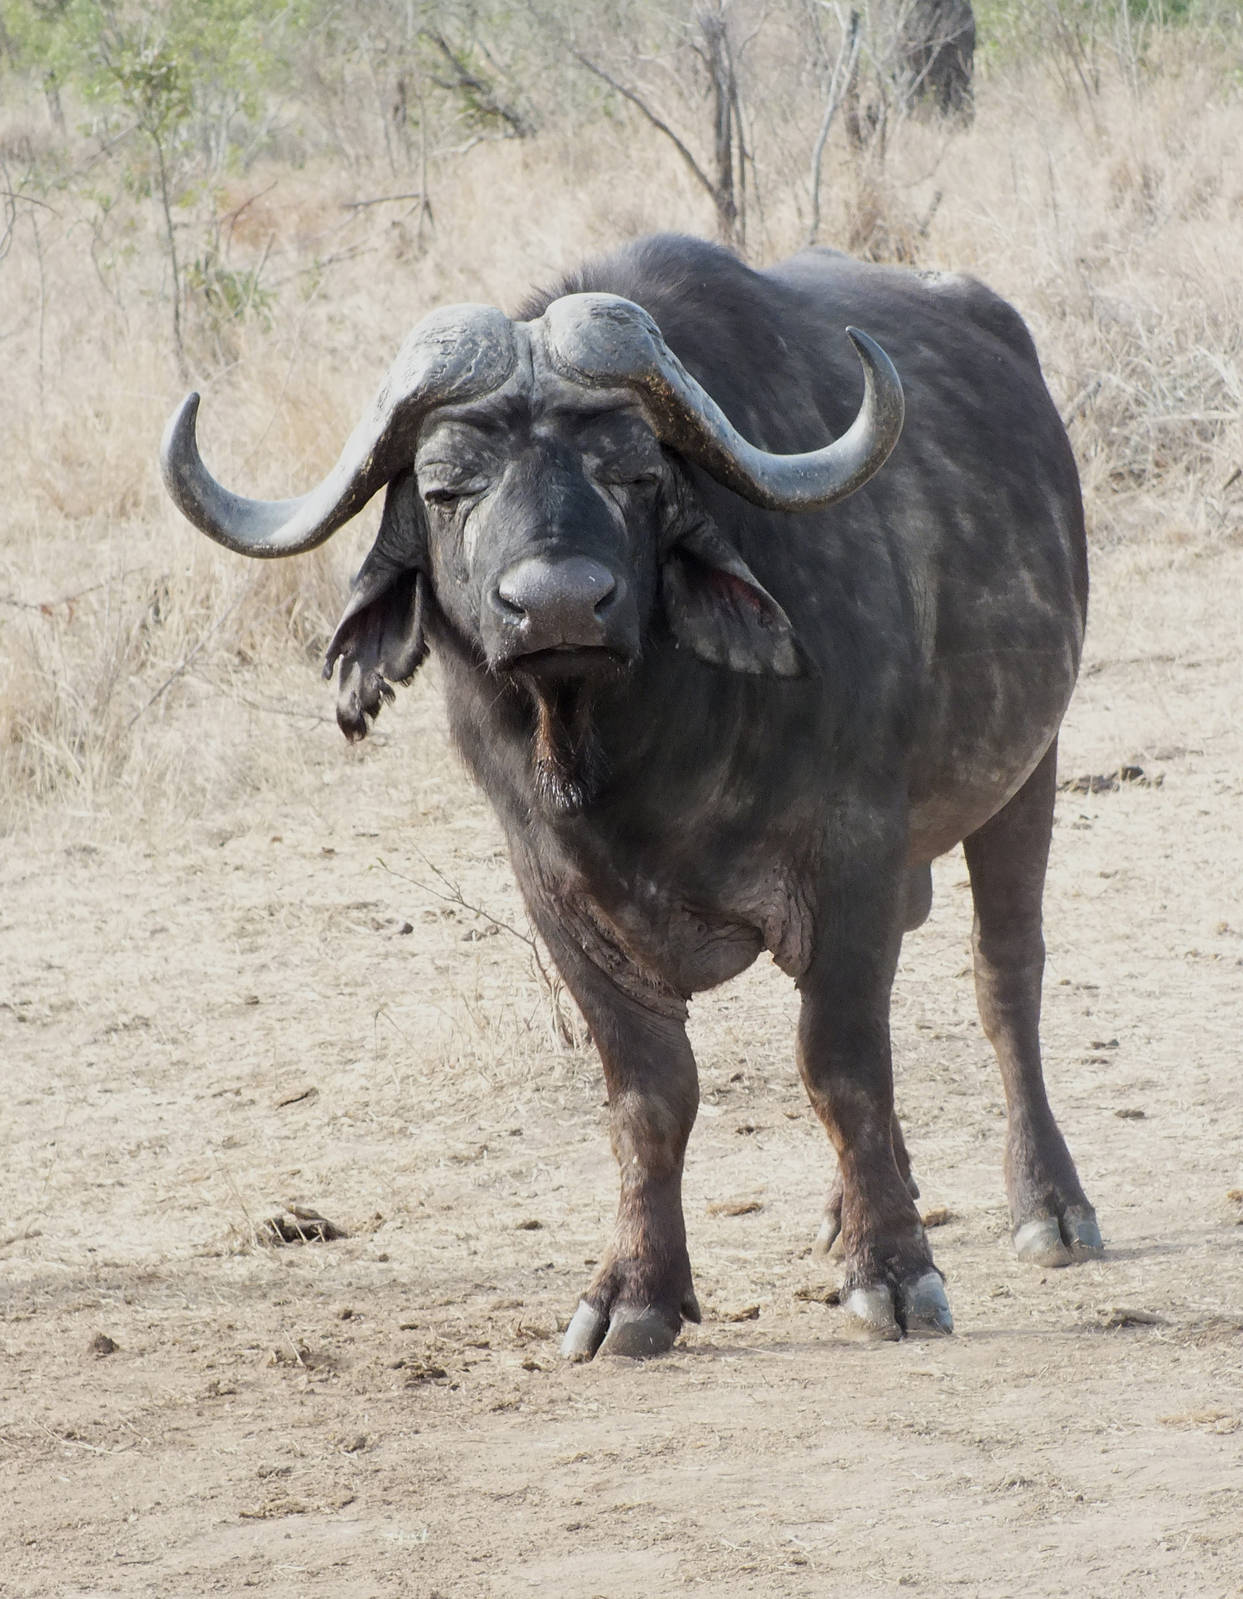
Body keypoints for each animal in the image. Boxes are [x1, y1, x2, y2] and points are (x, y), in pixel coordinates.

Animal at [162, 233, 1101, 1359]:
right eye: (444, 488)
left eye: (637, 471)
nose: (558, 604)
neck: (640, 756)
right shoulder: (555, 897)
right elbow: (650, 1094)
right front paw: (636, 1294)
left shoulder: (852, 862)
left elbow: (840, 1065)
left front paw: (894, 1271)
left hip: (1028, 769)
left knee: (1005, 978)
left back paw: (1048, 1207)